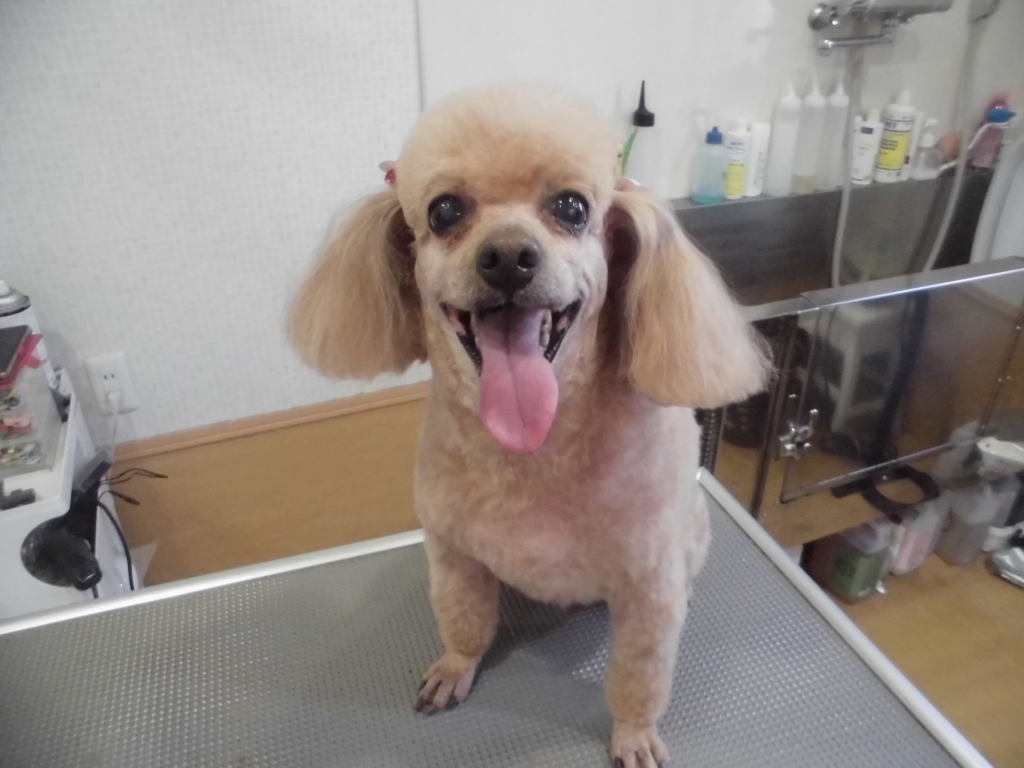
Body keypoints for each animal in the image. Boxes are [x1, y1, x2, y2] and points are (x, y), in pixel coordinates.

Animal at [290, 84, 769, 768]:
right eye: (444, 211)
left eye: (571, 207)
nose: (509, 258)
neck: (532, 451)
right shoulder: (453, 554)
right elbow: (463, 621)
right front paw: (456, 666)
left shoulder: (648, 589)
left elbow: (640, 675)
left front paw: (634, 733)